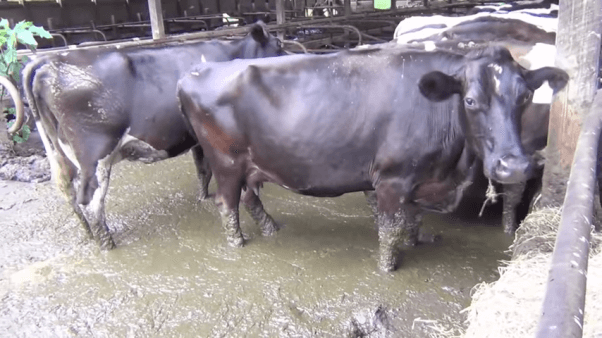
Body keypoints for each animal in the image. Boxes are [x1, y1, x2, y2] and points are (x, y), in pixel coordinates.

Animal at [14, 21, 284, 248]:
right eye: (279, 44)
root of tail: (50, 62)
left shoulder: (197, 136)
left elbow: (202, 170)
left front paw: (202, 198)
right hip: (95, 153)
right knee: (91, 202)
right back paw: (107, 245)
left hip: (58, 149)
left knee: (66, 188)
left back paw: (89, 235)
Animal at [177, 45, 568, 272]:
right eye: (470, 100)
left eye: (526, 97)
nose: (514, 166)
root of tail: (193, 73)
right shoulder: (393, 179)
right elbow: (390, 228)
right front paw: (388, 267)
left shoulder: (419, 178)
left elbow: (412, 219)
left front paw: (416, 241)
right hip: (226, 161)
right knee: (227, 203)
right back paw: (238, 243)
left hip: (252, 162)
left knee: (249, 195)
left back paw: (272, 228)